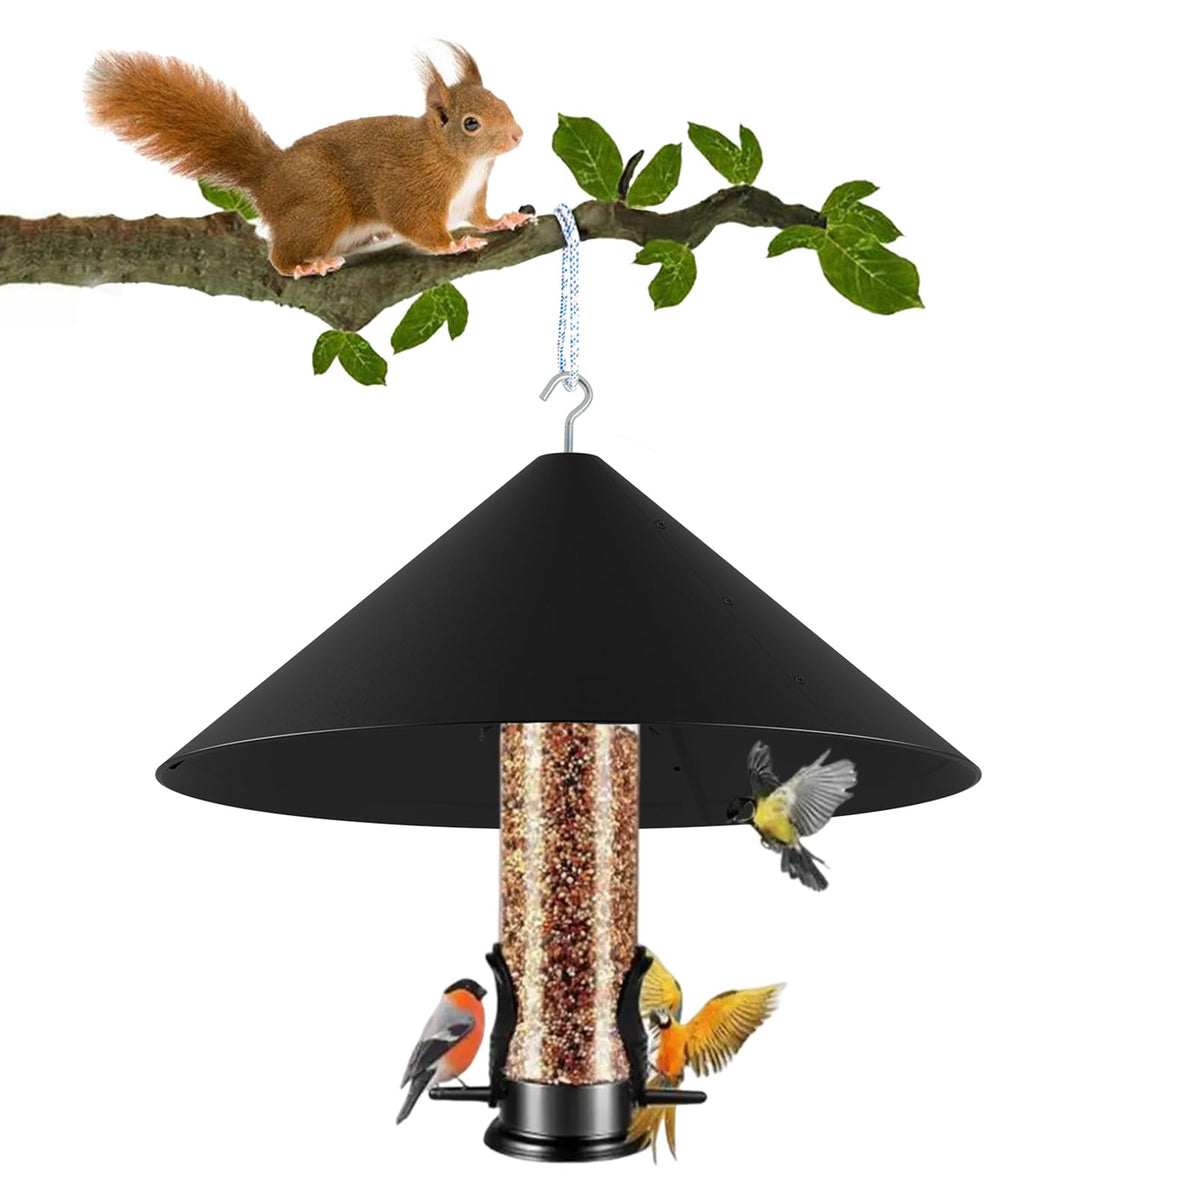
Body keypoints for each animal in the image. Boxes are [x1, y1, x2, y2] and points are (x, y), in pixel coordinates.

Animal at [84, 45, 531, 279]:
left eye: (501, 100)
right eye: (470, 123)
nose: (518, 135)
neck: (463, 163)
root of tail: (268, 176)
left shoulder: (472, 197)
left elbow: (480, 216)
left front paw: (504, 220)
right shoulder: (410, 189)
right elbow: (420, 228)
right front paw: (457, 244)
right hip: (320, 205)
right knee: (278, 255)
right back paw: (303, 267)